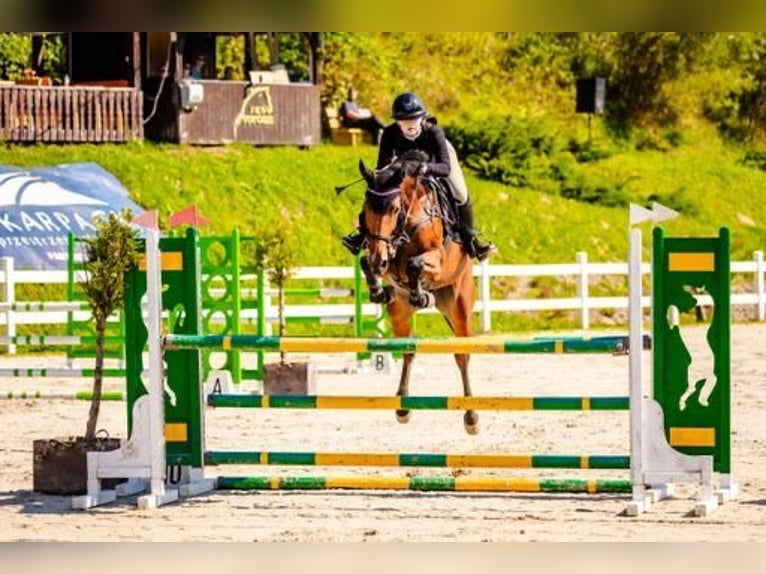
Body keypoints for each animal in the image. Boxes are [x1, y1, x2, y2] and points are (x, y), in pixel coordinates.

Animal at [358, 151, 480, 434]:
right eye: (366, 209)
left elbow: (415, 264)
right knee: (408, 350)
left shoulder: (436, 257)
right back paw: (402, 407)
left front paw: (421, 294)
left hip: (459, 306)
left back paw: (471, 416)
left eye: (394, 209)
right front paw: (378, 289)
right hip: (400, 313)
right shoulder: (386, 257)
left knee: (462, 356)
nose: (378, 260)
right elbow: (366, 262)